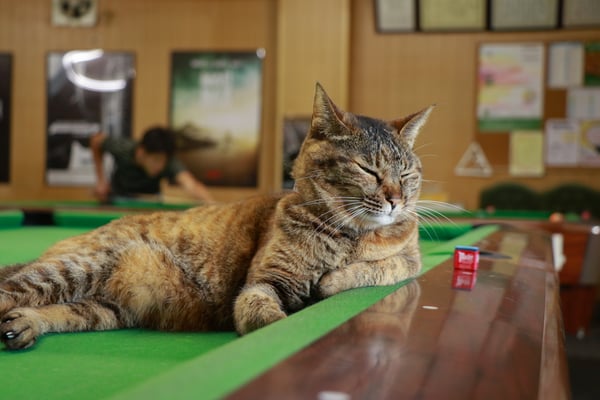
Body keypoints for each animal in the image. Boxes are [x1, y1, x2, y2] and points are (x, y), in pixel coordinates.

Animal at [0, 83, 433, 350]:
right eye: (368, 170)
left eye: (407, 174)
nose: (395, 200)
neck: (349, 236)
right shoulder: (267, 282)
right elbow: (264, 311)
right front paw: (283, 327)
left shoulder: (409, 260)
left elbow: (377, 268)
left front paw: (333, 280)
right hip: (72, 270)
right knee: (11, 289)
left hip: (106, 308)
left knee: (62, 310)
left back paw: (26, 324)